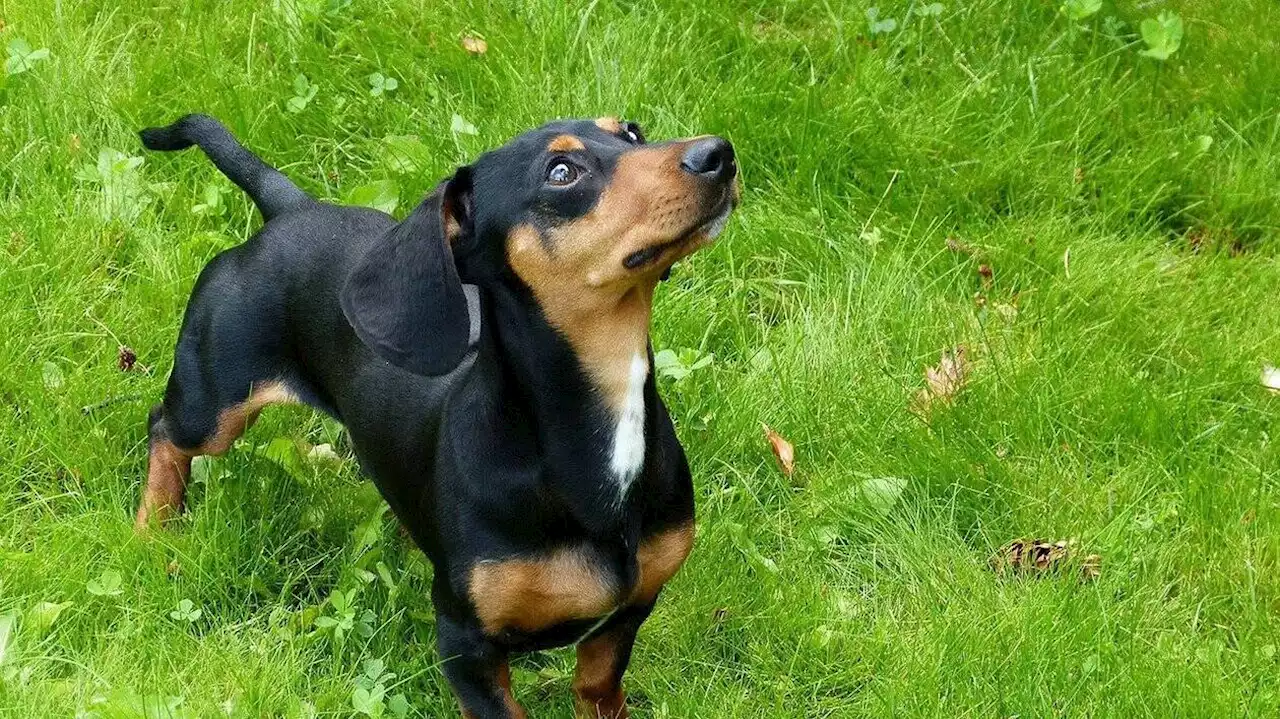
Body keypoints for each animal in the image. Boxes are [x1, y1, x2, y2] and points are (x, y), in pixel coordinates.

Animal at [133, 114, 737, 711]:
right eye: (561, 172)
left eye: (631, 132)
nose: (718, 154)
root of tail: (291, 209)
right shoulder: (466, 645)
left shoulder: (628, 612)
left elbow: (597, 687)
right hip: (214, 400)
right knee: (164, 429)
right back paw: (153, 528)